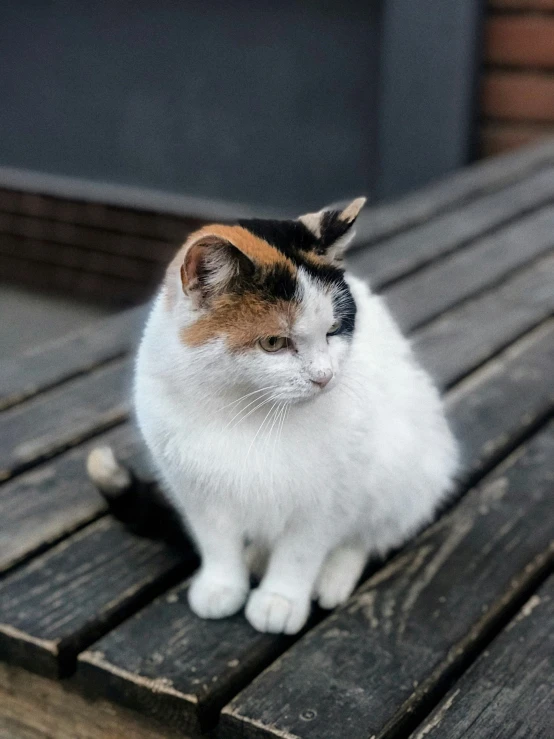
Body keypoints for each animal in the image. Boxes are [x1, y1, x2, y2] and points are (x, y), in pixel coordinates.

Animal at [86, 198, 458, 636]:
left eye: (334, 329)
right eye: (273, 343)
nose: (324, 377)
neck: (248, 411)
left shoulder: (330, 496)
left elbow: (301, 551)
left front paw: (281, 599)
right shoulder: (195, 489)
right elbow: (216, 540)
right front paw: (222, 584)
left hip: (408, 466)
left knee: (371, 533)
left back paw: (335, 575)